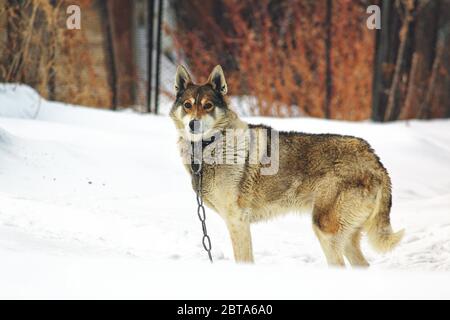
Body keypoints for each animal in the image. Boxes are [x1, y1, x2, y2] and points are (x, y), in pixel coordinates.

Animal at [170, 65, 404, 268]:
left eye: (208, 105)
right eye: (187, 105)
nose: (193, 124)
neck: (210, 148)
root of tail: (374, 158)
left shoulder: (238, 221)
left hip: (325, 230)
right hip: (345, 238)